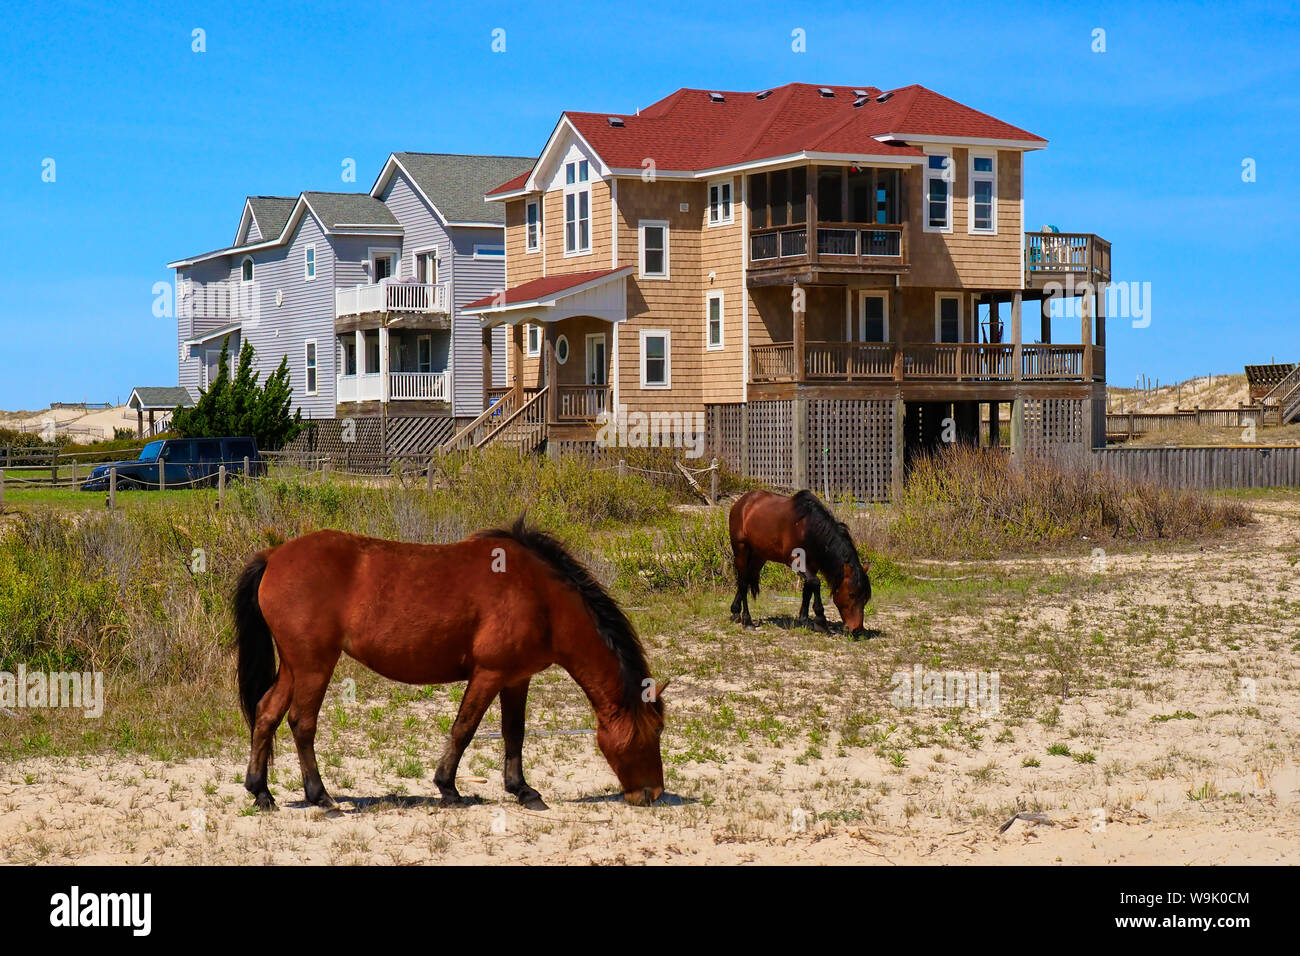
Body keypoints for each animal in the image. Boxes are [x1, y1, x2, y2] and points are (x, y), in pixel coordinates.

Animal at [227, 520, 665, 811]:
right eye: (653, 732)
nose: (653, 793)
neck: (540, 595)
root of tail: (274, 555)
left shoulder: (516, 678)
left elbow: (514, 734)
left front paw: (522, 789)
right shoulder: (488, 674)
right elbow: (464, 728)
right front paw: (448, 788)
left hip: (294, 665)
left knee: (267, 713)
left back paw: (261, 791)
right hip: (314, 664)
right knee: (301, 723)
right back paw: (319, 796)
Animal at [728, 489, 868, 639]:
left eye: (865, 598)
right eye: (851, 595)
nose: (857, 630)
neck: (807, 527)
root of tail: (741, 502)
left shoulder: (812, 564)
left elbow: (808, 587)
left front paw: (805, 619)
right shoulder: (795, 560)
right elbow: (815, 583)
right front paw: (821, 621)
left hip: (759, 556)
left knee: (746, 579)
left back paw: (735, 612)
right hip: (741, 551)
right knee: (743, 583)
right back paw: (747, 620)